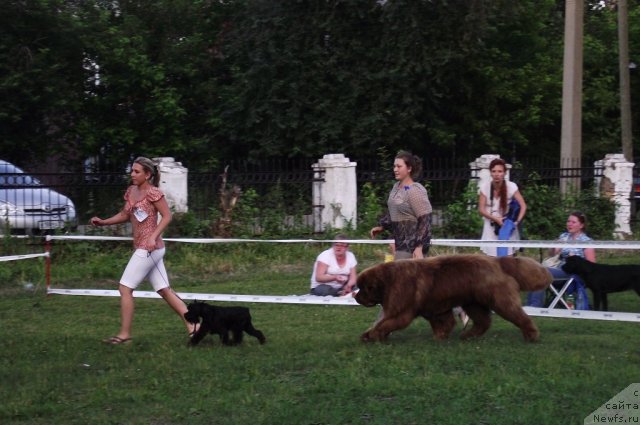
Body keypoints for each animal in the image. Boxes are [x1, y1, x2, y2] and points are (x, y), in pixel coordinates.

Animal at [352, 255, 552, 342]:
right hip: (473, 303)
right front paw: (440, 336)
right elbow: (444, 323)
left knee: (519, 316)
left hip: (500, 300)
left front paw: (373, 334)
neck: (388, 281)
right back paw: (468, 335)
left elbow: (385, 323)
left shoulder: (401, 311)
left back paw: (531, 335)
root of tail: (497, 261)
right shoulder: (434, 309)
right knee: (483, 321)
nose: (355, 296)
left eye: (364, 288)